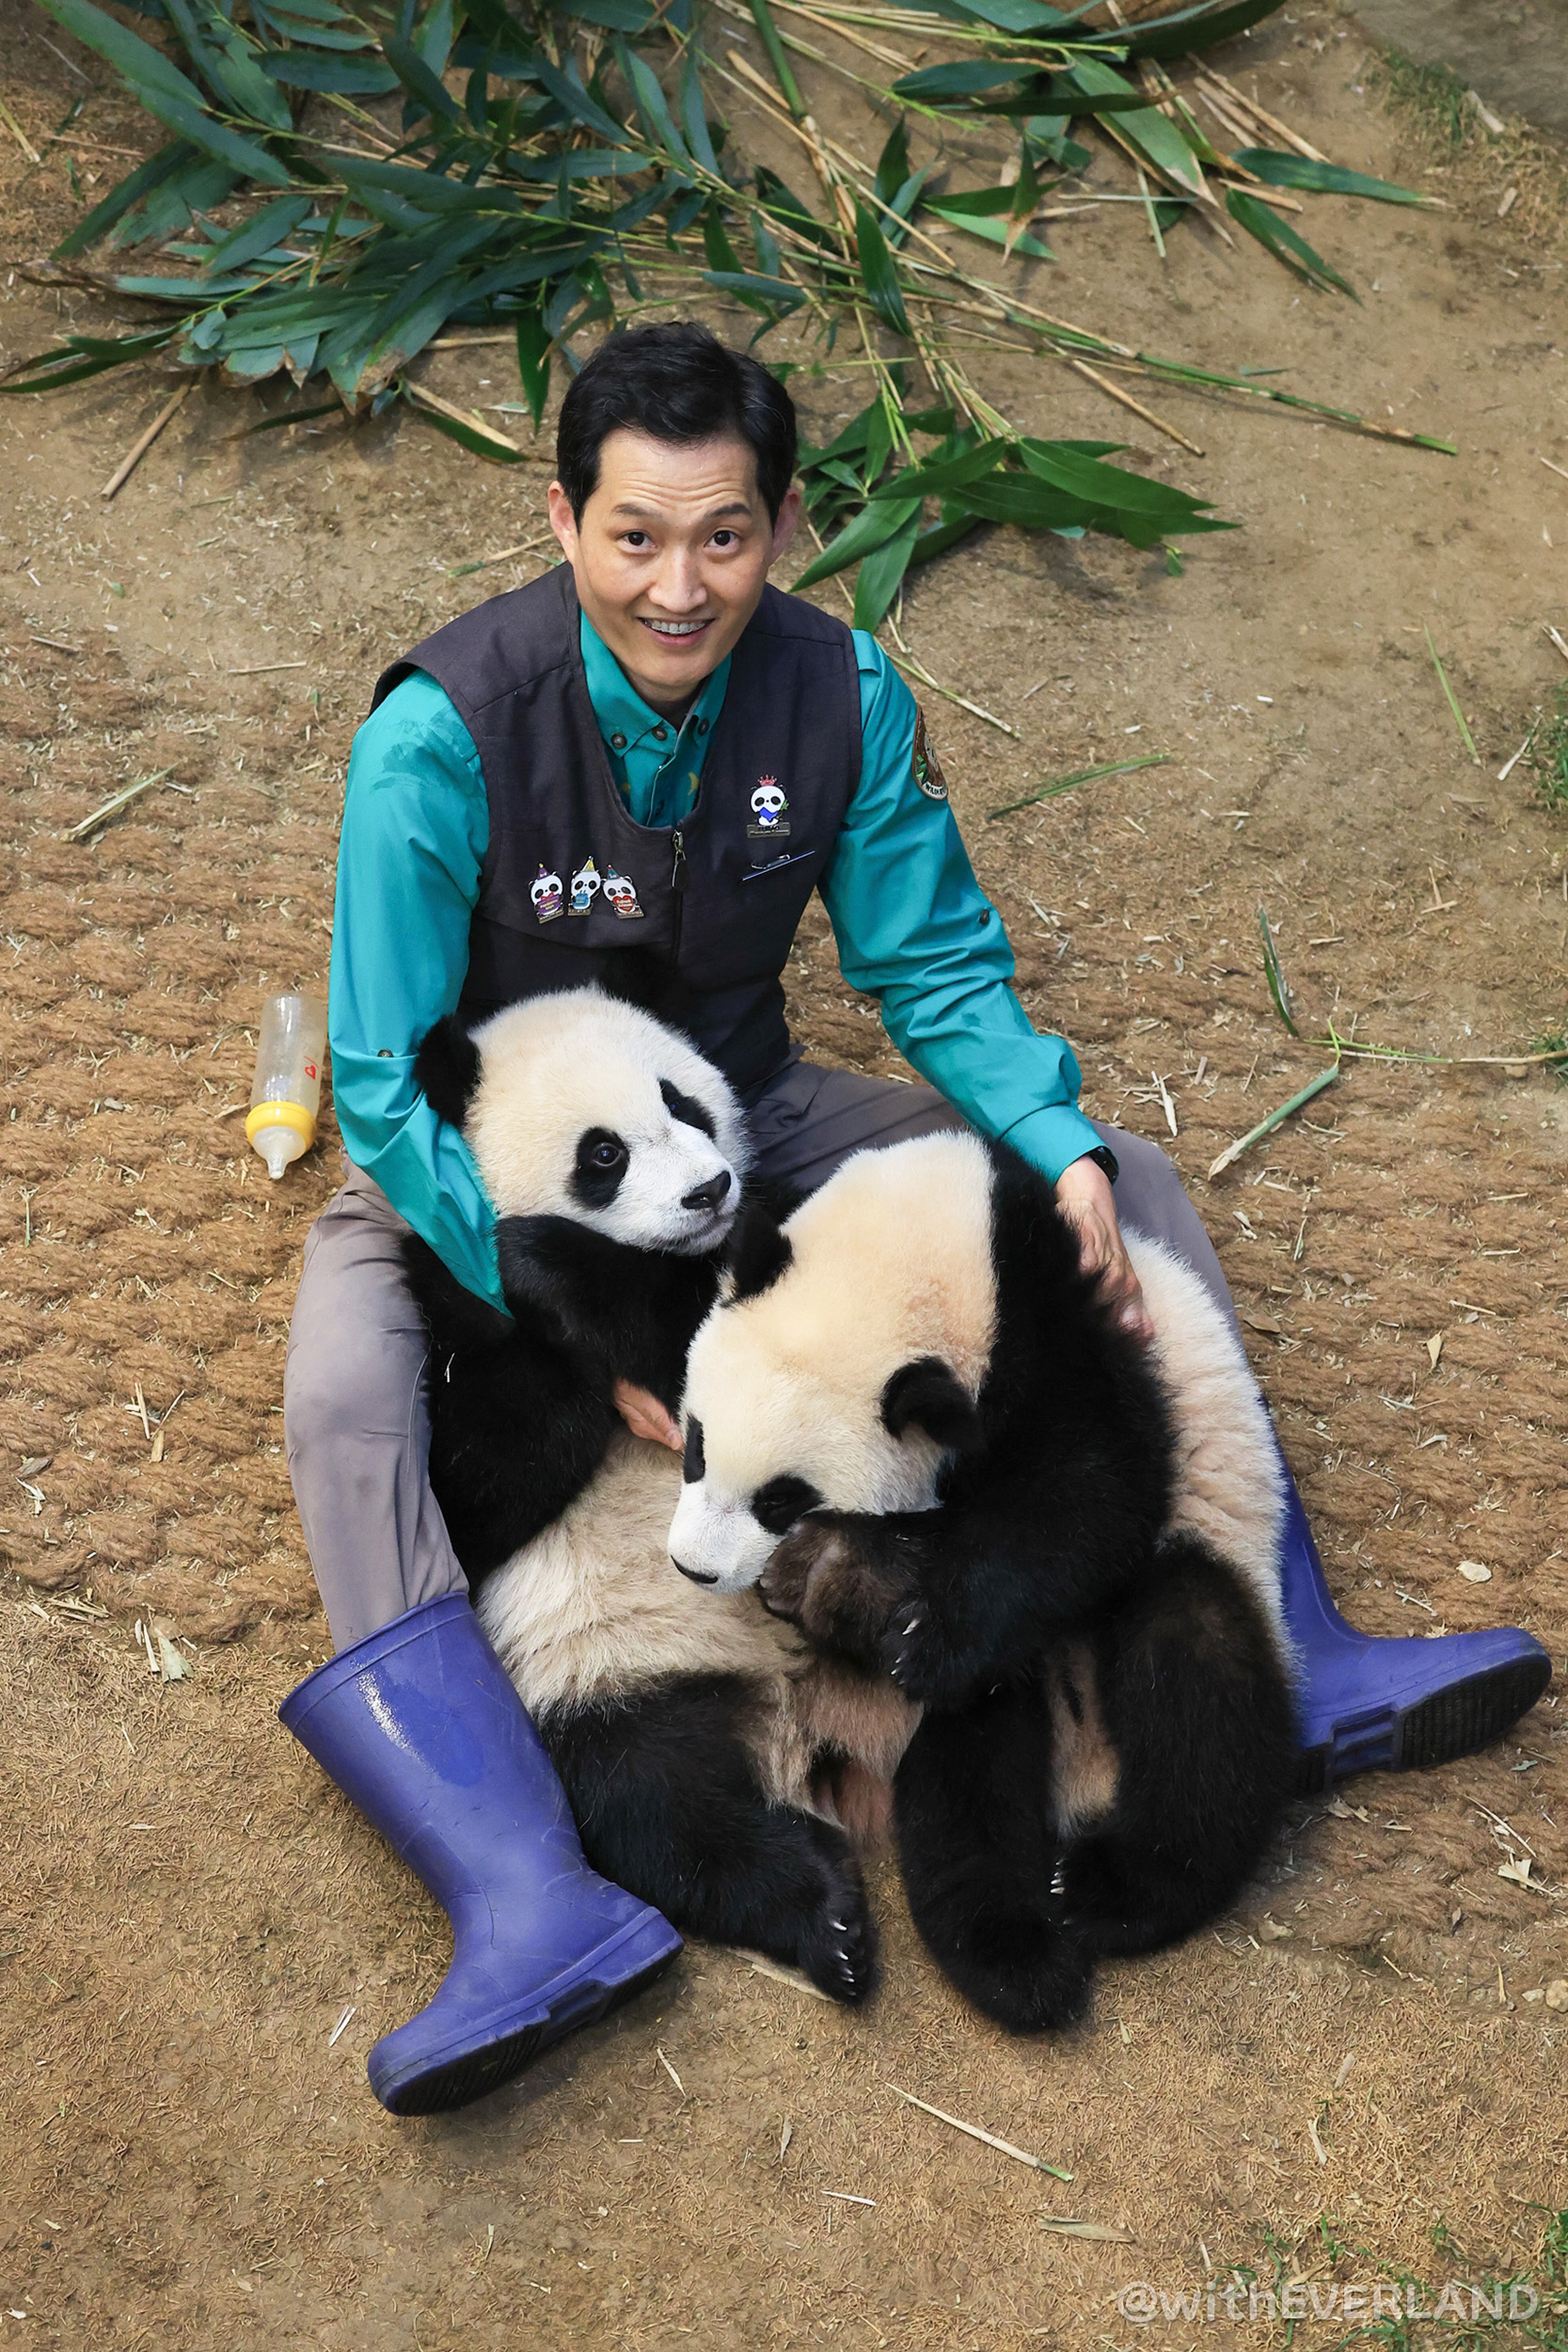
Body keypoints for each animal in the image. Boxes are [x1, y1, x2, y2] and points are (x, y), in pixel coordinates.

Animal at [404, 987, 916, 2005]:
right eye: (602, 1154)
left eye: (685, 1103)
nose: (707, 1191)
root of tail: (798, 1719)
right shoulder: (459, 1325)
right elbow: (477, 1486)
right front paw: (535, 1260)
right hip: (616, 1683)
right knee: (665, 1818)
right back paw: (829, 1925)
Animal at [668, 1128, 1299, 2034]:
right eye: (695, 1444)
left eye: (781, 1498)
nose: (696, 1567)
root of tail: (1082, 1754)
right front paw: (844, 1584)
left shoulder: (1062, 1337)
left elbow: (1089, 1496)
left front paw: (908, 1620)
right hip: (1002, 1709)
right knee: (971, 1780)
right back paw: (1014, 1955)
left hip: (1210, 1555)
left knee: (1200, 1683)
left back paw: (1104, 1889)